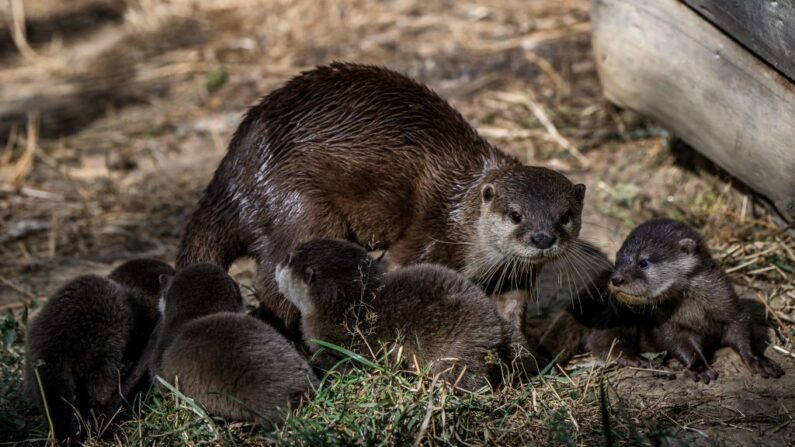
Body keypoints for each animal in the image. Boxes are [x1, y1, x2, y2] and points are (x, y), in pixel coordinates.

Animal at [176, 63, 584, 336]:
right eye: (515, 214)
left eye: (565, 215)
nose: (543, 238)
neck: (462, 214)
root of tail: (233, 171)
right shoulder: (429, 236)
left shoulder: (515, 277)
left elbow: (512, 310)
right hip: (298, 203)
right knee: (270, 279)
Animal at [276, 240, 540, 390]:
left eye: (289, 259)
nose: (277, 266)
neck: (346, 306)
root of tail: (493, 329)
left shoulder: (333, 342)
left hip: (458, 352)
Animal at [540, 219, 784, 384]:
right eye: (617, 260)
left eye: (643, 262)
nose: (616, 279)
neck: (696, 310)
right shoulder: (669, 324)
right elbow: (679, 343)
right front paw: (698, 368)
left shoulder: (727, 304)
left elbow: (741, 330)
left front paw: (758, 360)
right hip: (615, 316)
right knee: (602, 343)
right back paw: (642, 361)